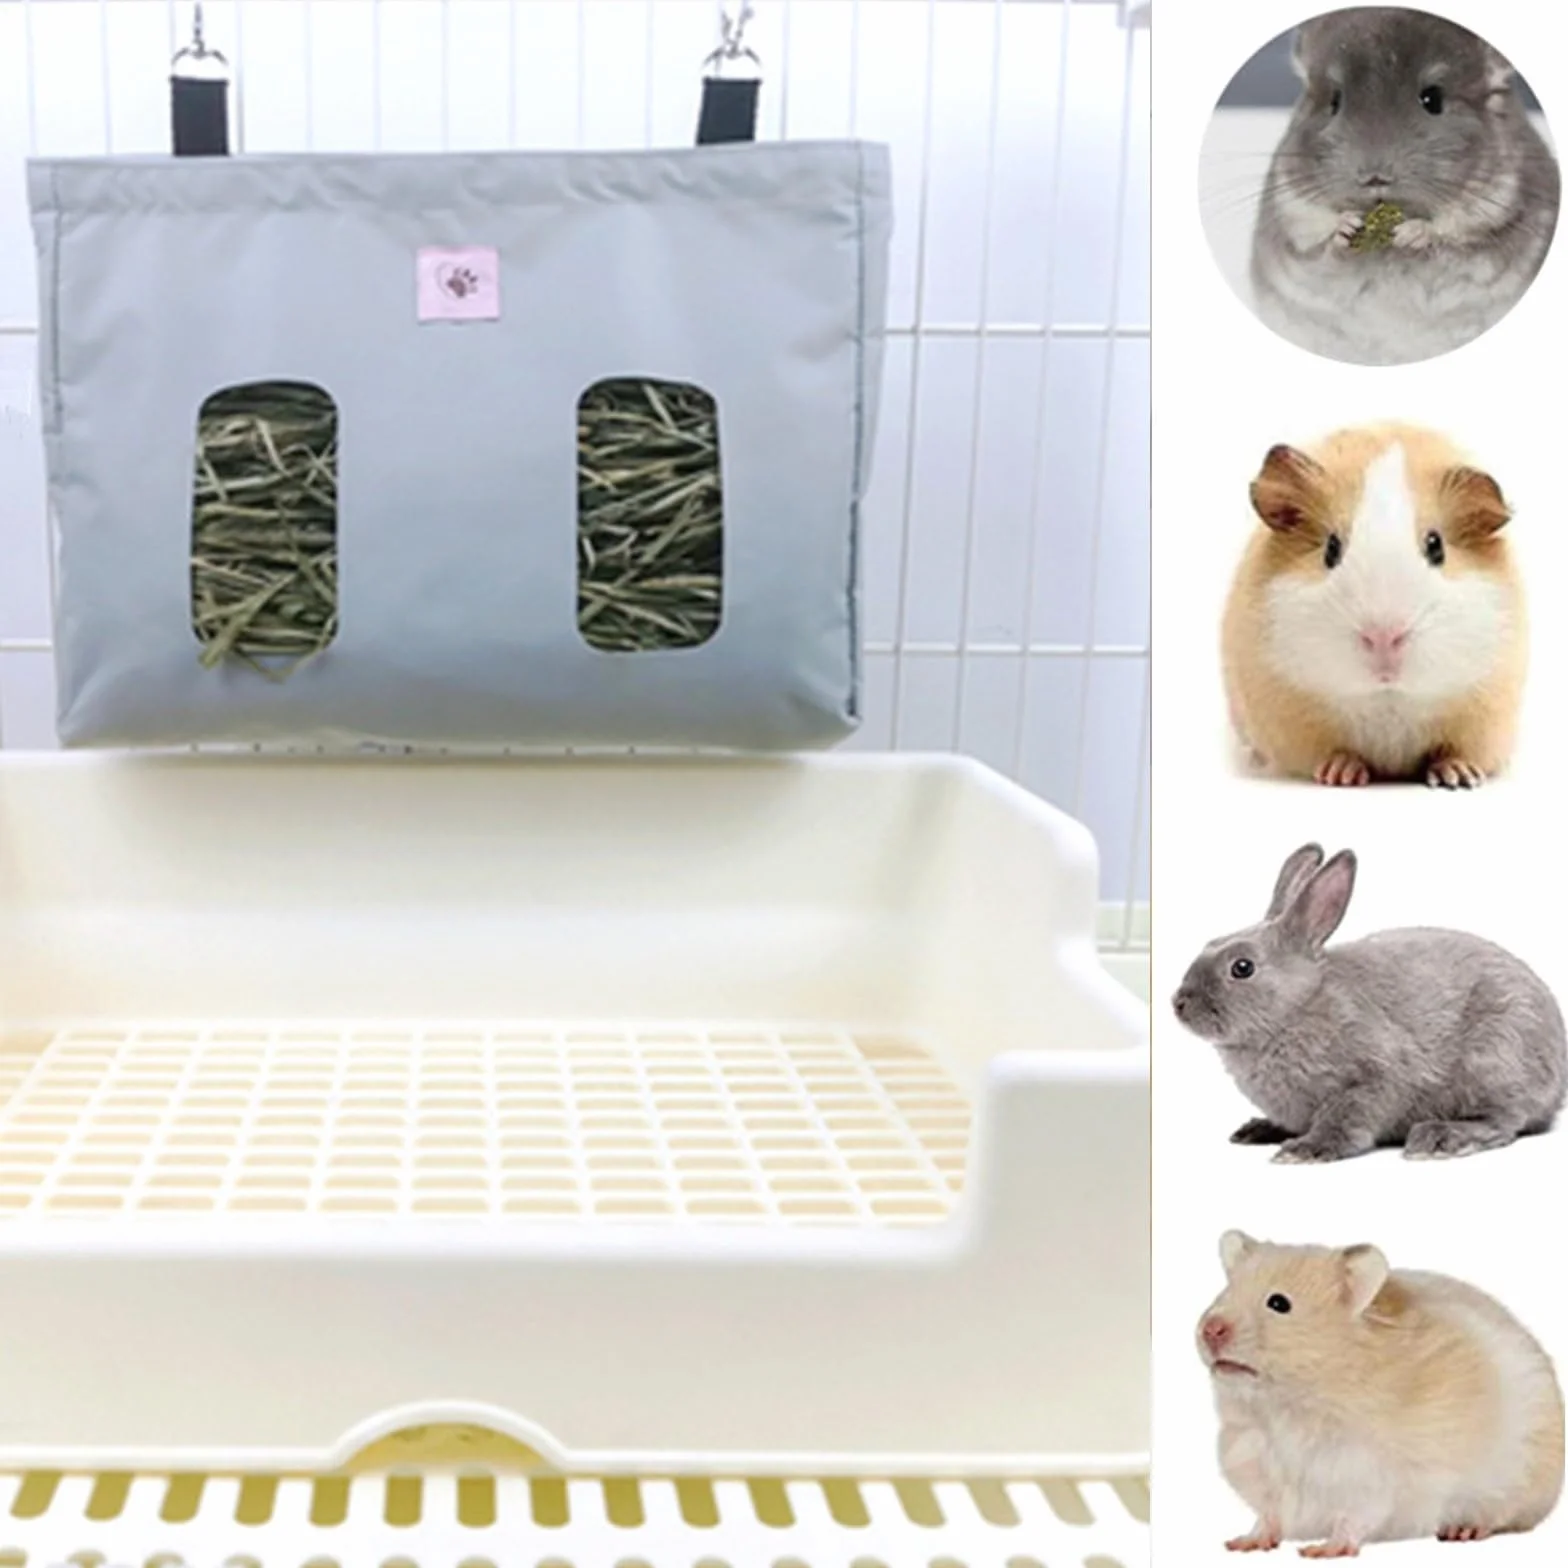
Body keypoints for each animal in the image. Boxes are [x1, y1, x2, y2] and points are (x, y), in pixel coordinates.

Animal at [1171, 842, 1567, 1162]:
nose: (1179, 1004)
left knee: (1503, 1121)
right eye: (1210, 943)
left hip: (1495, 1057)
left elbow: (1346, 1117)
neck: (1298, 1007)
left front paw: (1307, 1150)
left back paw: (1440, 1138)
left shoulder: (1374, 1077)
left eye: (1242, 967)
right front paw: (1263, 1129)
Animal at [1198, 1232, 1564, 1554]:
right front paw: (1242, 1544)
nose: (1210, 1329)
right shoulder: (1260, 1469)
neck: (1286, 1406)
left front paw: (1323, 1551)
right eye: (1224, 1293)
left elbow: (1353, 1518)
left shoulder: (1369, 1476)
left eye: (1279, 1303)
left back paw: (1463, 1530)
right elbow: (1267, 1516)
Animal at [1222, 424, 1526, 789]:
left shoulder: (1483, 714)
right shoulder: (1294, 721)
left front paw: (1458, 777)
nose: (1384, 637)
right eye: (1331, 549)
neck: (1388, 699)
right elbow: (1333, 752)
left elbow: (1455, 750)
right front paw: (1341, 775)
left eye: (1436, 546)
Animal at [1250, 8, 1560, 366]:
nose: (1374, 177)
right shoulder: (1295, 228)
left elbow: (1451, 242)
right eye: (1334, 102)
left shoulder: (1492, 223)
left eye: (1433, 99)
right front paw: (1345, 228)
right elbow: (1321, 254)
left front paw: (1413, 234)